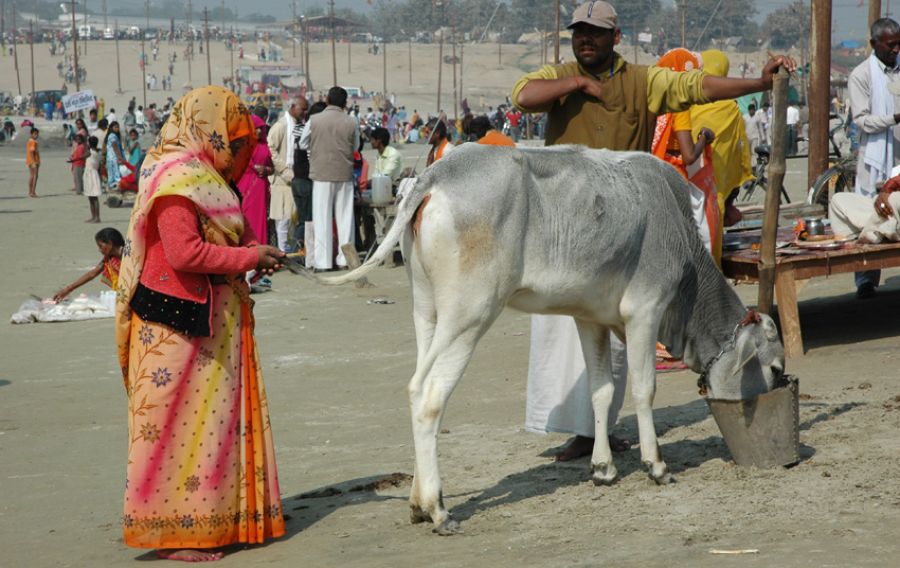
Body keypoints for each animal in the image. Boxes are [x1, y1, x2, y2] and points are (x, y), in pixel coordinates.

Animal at [320, 143, 784, 532]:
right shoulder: (645, 310)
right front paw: (656, 466)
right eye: (777, 369)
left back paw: (419, 501)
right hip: (469, 316)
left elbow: (601, 391)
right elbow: (643, 389)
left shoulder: (590, 319)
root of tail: (440, 172)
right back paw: (438, 509)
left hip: (427, 314)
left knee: (417, 388)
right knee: (428, 394)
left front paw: (603, 469)